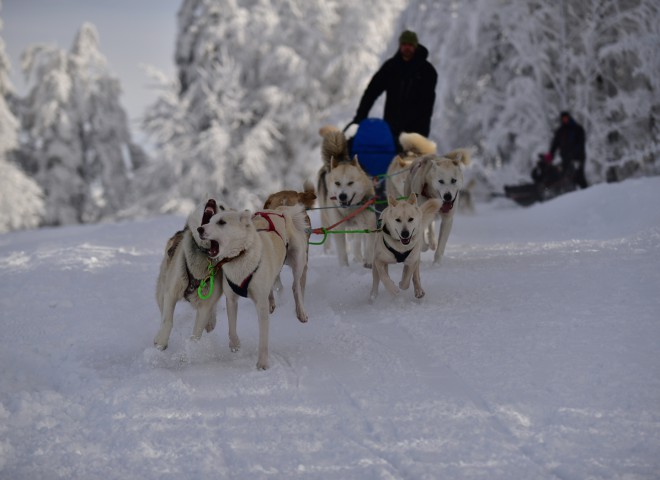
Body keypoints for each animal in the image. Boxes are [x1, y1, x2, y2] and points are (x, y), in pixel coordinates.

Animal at [155, 197, 229, 350]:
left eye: (223, 207)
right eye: (211, 201)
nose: (211, 200)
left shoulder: (205, 307)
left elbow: (197, 333)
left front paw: (193, 350)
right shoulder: (170, 293)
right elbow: (167, 321)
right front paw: (161, 343)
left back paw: (211, 321)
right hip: (161, 290)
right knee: (162, 309)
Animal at [196, 204, 310, 370]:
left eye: (222, 222)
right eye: (209, 220)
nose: (199, 229)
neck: (241, 255)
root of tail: (281, 212)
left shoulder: (260, 305)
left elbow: (263, 339)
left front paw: (262, 363)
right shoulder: (231, 299)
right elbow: (231, 327)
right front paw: (234, 344)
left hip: (297, 262)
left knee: (296, 287)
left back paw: (301, 311)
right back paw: (272, 302)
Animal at [316, 125, 376, 268]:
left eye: (350, 182)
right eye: (337, 183)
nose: (342, 196)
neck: (350, 210)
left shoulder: (369, 223)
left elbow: (367, 245)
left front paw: (368, 261)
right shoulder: (338, 227)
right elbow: (342, 251)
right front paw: (344, 267)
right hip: (326, 218)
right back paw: (327, 252)